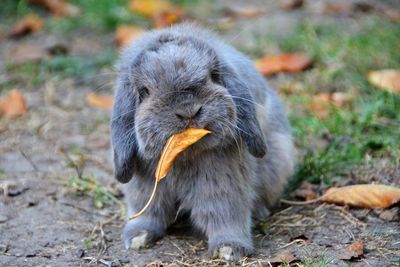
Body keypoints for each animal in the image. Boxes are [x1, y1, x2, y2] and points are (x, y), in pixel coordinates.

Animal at [111, 23, 296, 262]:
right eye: (144, 91)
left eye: (213, 75)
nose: (188, 110)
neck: (182, 156)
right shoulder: (145, 186)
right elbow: (148, 211)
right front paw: (137, 238)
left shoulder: (222, 183)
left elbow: (225, 213)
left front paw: (229, 249)